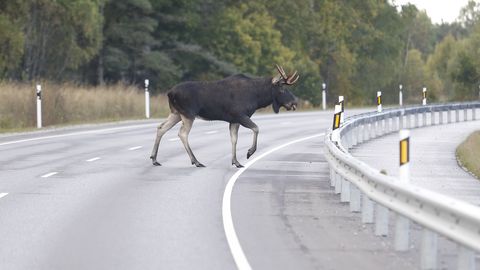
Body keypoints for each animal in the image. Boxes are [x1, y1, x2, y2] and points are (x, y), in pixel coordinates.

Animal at [151, 64, 300, 168]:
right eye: (282, 88)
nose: (294, 103)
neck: (257, 98)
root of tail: (169, 93)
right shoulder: (240, 115)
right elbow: (256, 128)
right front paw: (249, 152)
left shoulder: (234, 120)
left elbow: (234, 139)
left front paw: (236, 162)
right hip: (188, 114)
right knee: (182, 134)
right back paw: (196, 161)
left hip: (176, 113)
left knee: (161, 128)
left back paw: (154, 159)